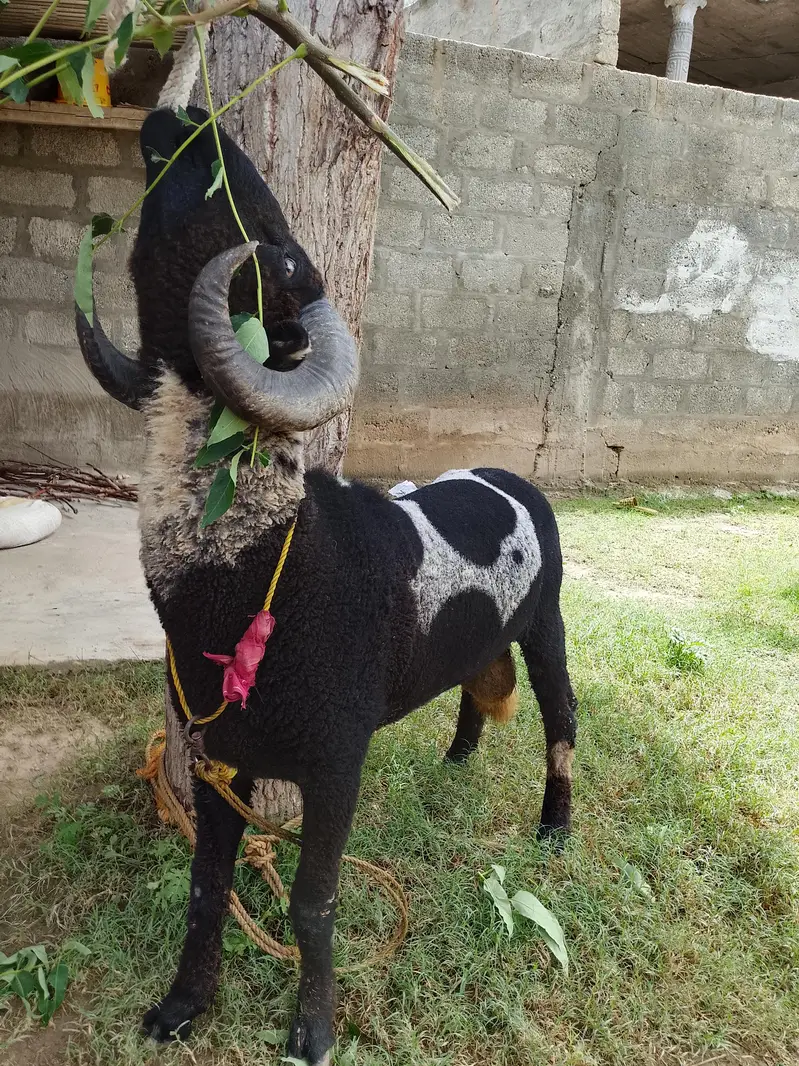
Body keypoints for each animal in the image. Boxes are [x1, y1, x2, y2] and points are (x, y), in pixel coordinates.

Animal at [76, 106, 578, 1066]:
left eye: (281, 251)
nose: (180, 116)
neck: (270, 561)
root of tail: (508, 474)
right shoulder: (221, 759)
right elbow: (207, 888)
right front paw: (181, 1007)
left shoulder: (337, 762)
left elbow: (313, 903)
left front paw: (311, 1029)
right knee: (473, 691)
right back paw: (457, 761)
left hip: (549, 627)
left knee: (563, 725)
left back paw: (555, 827)